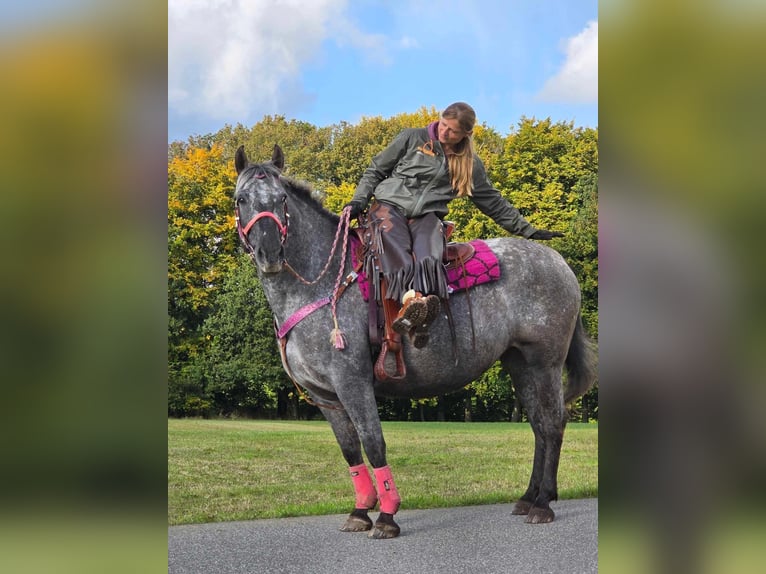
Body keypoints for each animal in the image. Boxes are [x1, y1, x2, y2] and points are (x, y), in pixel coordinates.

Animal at [234, 144, 600, 540]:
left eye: (281, 198)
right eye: (241, 199)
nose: (269, 253)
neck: (324, 282)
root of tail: (559, 263)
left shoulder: (353, 382)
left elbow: (374, 443)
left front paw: (387, 515)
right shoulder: (325, 396)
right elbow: (350, 451)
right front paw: (360, 511)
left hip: (544, 362)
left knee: (552, 423)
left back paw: (544, 503)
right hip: (520, 364)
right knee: (538, 425)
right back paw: (529, 497)